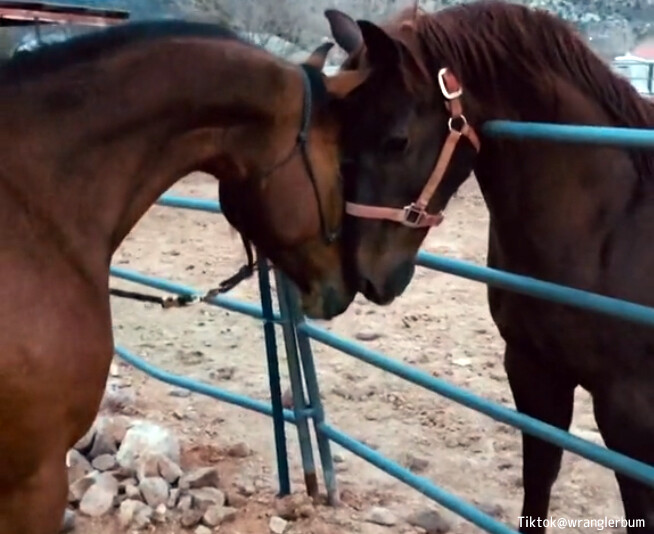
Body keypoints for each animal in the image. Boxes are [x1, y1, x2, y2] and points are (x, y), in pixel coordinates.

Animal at [326, 2, 654, 532]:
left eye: (397, 141)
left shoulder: (629, 409)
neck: (613, 224)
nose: (364, 274)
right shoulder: (532, 371)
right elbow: (538, 480)